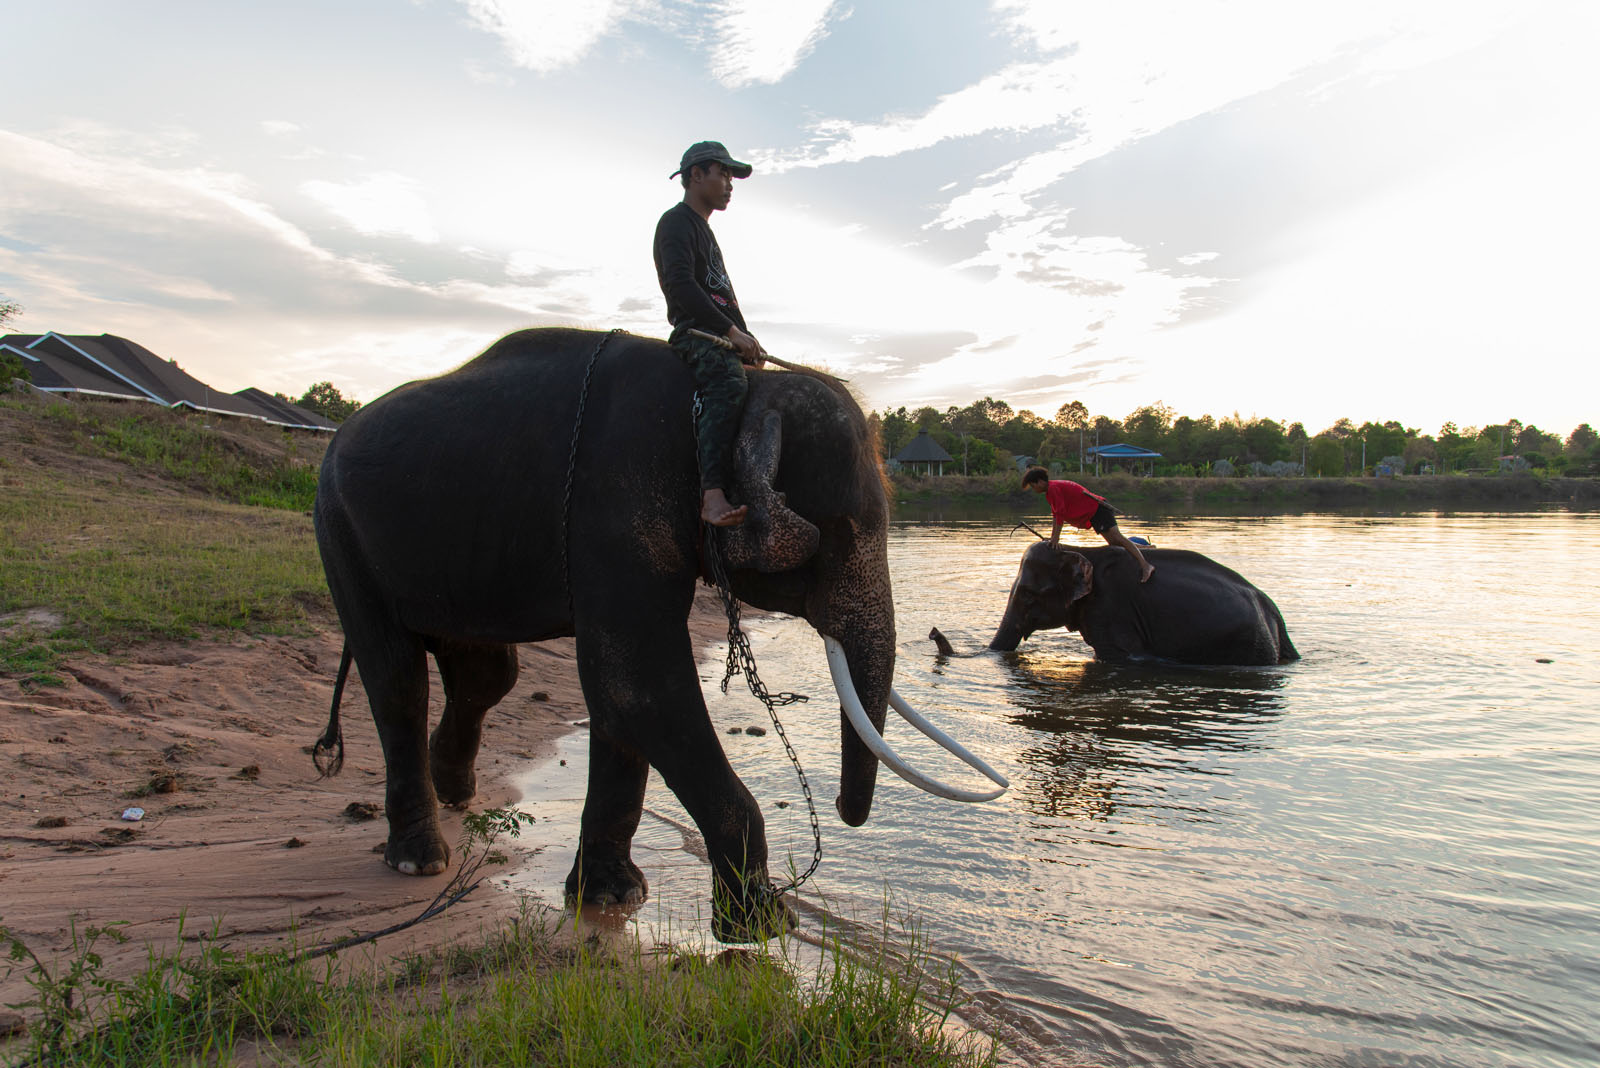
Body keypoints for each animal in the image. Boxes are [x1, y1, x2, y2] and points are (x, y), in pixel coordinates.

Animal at [311, 327, 1002, 943]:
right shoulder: (615, 506)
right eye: (842, 531)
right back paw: (419, 859)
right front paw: (761, 926)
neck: (738, 392)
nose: (839, 810)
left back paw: (455, 790)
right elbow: (637, 686)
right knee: (397, 679)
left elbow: (618, 699)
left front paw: (612, 897)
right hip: (339, 530)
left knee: (486, 673)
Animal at [937, 540, 1297, 666]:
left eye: (1027, 594)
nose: (934, 632)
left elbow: (1117, 656)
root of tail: (1273, 612)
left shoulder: (1110, 610)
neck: (1083, 550)